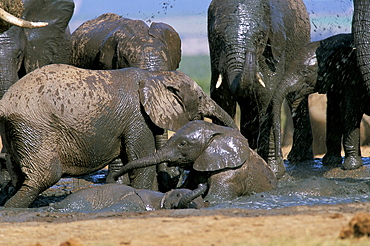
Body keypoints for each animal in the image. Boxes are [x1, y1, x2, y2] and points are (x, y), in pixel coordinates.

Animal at [0, 64, 237, 208]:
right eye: (200, 97)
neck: (155, 77)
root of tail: (4, 104)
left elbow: (123, 162)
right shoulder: (138, 118)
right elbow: (140, 162)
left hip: (15, 130)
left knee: (15, 172)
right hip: (35, 127)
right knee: (44, 176)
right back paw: (13, 208)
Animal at [210, 0, 310, 178]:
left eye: (259, 38)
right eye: (217, 37)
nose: (251, 53)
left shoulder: (275, 48)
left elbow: (268, 95)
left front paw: (274, 172)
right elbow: (221, 97)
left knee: (294, 98)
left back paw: (298, 157)